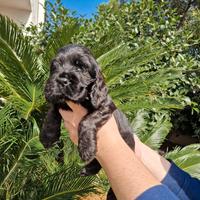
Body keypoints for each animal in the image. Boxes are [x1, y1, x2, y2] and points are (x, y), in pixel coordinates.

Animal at [39, 44, 134, 200]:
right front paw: (47, 137)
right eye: (55, 66)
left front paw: (86, 148)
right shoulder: (60, 102)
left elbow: (87, 120)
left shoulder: (105, 106)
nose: (62, 80)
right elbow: (52, 111)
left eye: (80, 67)